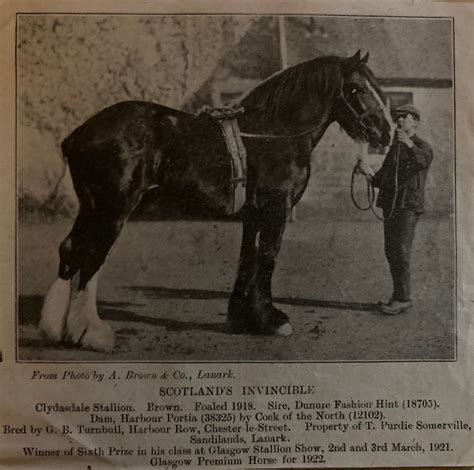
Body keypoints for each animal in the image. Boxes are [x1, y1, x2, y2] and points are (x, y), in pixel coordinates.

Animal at [38, 50, 392, 352]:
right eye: (357, 89)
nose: (386, 133)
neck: (274, 132)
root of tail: (78, 134)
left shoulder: (253, 214)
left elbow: (247, 259)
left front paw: (244, 317)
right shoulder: (276, 209)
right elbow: (267, 258)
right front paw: (272, 320)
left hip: (91, 208)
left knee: (71, 250)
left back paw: (56, 328)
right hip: (111, 211)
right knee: (91, 257)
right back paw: (90, 333)